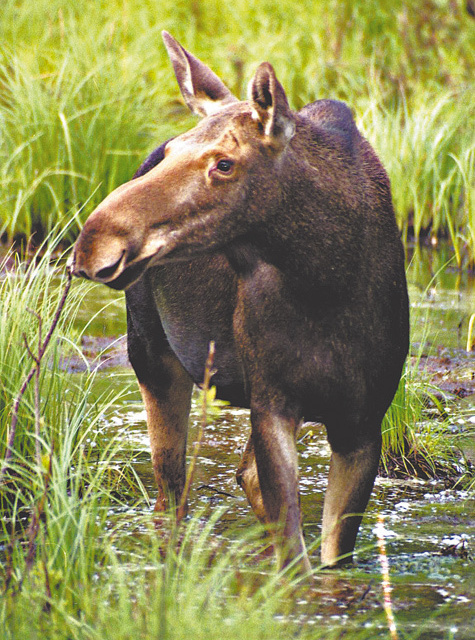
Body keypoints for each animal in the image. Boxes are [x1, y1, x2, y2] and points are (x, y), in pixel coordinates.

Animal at [70, 32, 410, 572]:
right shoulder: (272, 404)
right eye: (171, 153)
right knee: (172, 496)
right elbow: (294, 555)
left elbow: (328, 559)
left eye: (224, 163)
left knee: (238, 477)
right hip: (151, 352)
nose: (94, 242)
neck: (326, 282)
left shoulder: (362, 423)